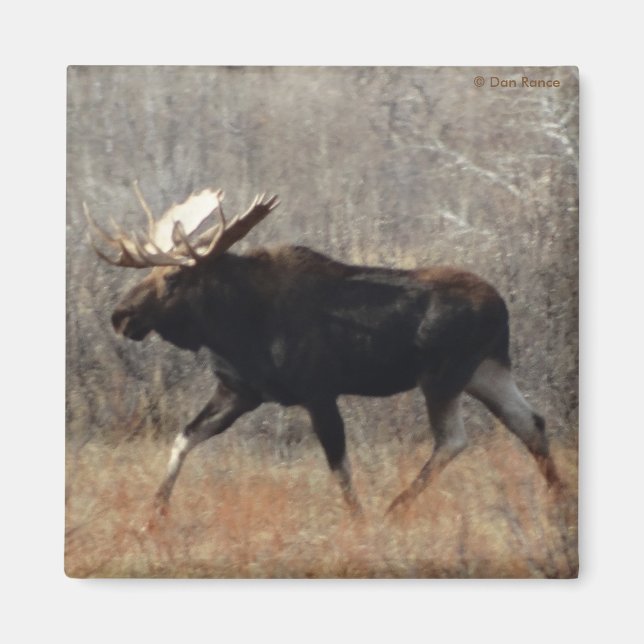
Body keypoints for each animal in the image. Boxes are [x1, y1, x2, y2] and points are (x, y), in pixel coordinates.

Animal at [84, 184, 561, 518]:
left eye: (173, 279)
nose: (121, 316)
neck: (233, 327)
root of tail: (501, 307)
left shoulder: (317, 392)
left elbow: (340, 468)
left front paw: (360, 522)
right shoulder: (240, 391)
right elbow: (183, 438)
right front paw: (154, 514)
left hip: (445, 376)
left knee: (453, 440)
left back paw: (394, 508)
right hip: (487, 370)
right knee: (531, 422)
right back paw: (559, 501)